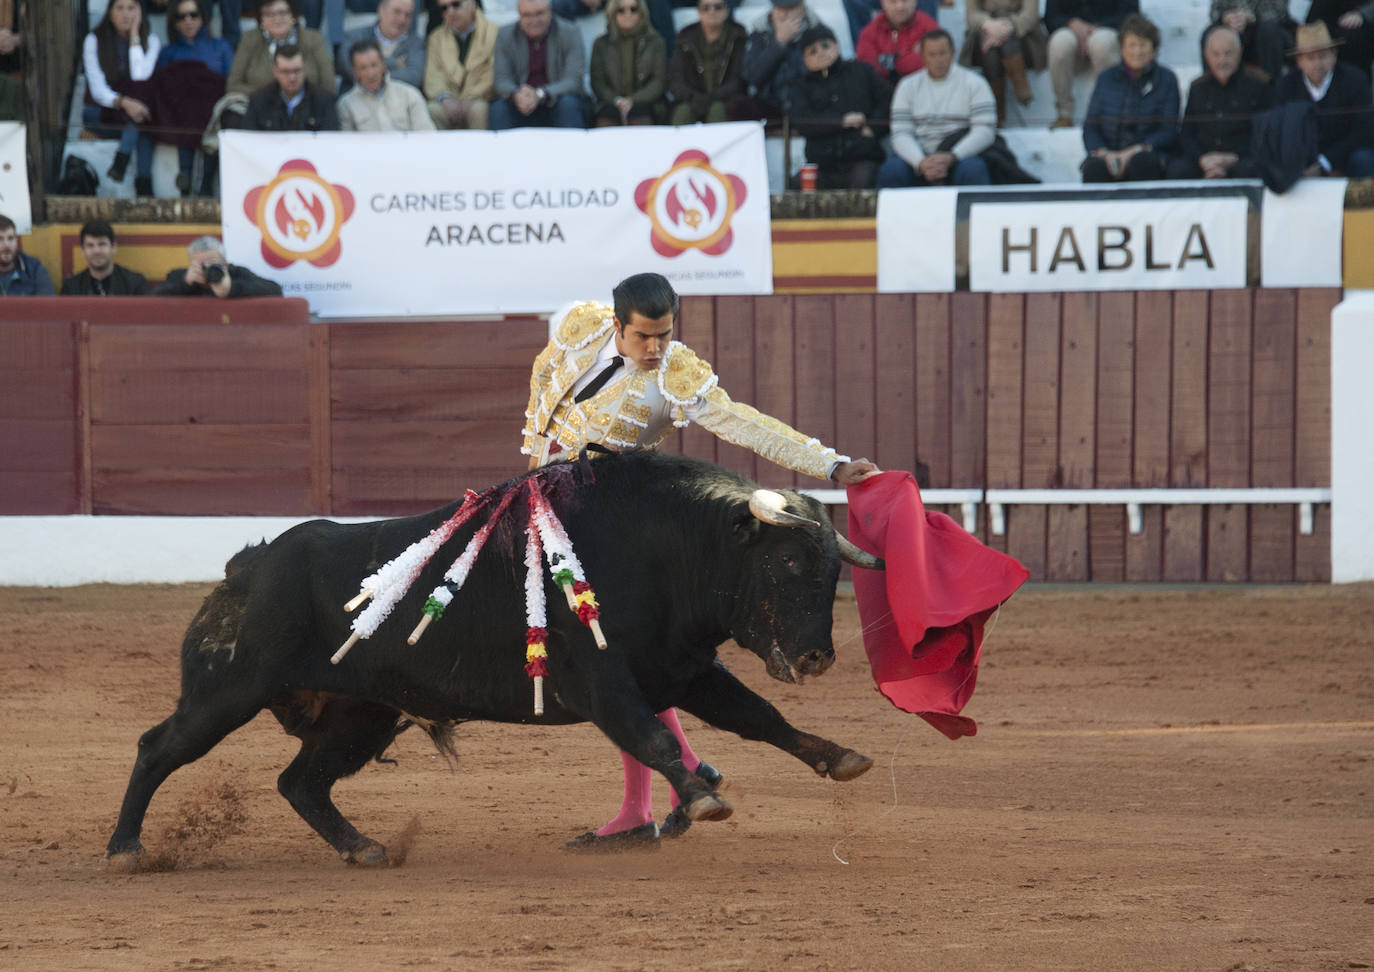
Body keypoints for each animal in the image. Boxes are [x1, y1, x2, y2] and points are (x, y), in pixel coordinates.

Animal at [107, 448, 879, 868]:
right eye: (786, 563)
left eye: (831, 570)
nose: (817, 656)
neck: (666, 548)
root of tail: (248, 567)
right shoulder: (602, 685)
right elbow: (654, 737)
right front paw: (702, 798)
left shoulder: (684, 670)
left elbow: (760, 718)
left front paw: (840, 757)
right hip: (228, 690)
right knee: (159, 748)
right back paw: (124, 849)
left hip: (361, 715)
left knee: (300, 782)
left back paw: (365, 848)